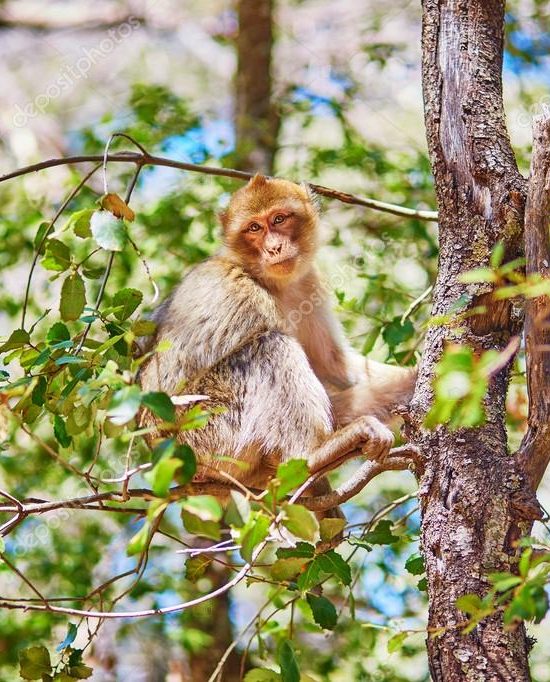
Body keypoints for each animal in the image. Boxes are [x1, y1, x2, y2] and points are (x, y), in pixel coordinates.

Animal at [139, 173, 418, 512]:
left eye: (279, 219)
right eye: (254, 228)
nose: (274, 247)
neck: (269, 282)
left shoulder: (308, 283)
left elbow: (335, 367)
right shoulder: (245, 296)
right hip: (206, 436)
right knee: (269, 346)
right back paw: (313, 455)